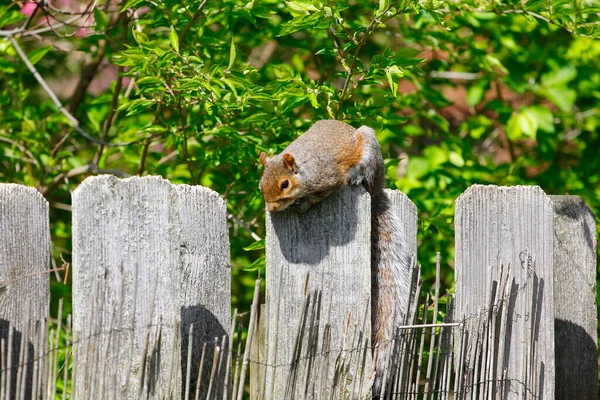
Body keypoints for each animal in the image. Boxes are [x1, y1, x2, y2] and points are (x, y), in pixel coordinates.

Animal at [258, 119, 412, 396]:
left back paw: (359, 176)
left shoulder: (329, 180)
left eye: (284, 184)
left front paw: (303, 205)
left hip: (369, 151)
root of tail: (377, 190)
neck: (304, 169)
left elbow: (318, 196)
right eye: (260, 185)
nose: (271, 207)